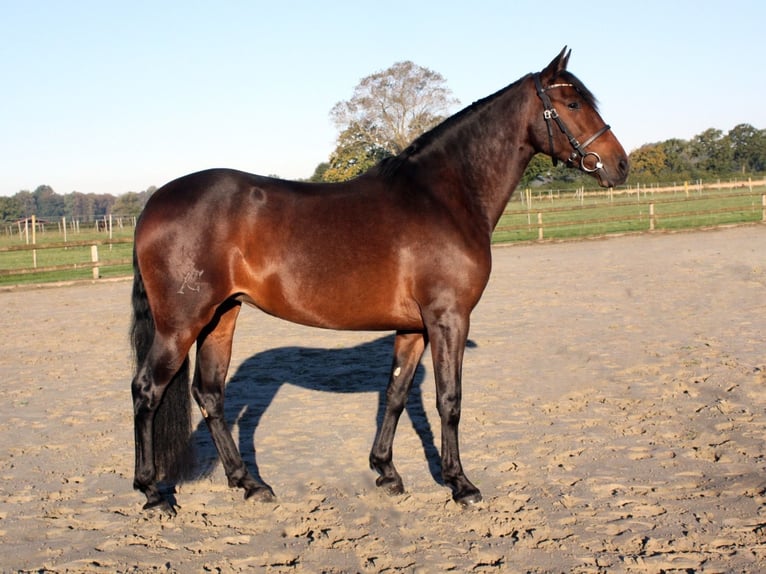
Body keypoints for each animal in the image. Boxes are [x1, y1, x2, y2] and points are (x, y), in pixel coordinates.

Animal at [129, 46, 628, 512]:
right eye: (574, 103)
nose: (620, 165)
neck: (444, 196)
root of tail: (154, 205)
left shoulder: (413, 328)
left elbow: (395, 393)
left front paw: (386, 472)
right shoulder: (449, 318)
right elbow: (449, 400)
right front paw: (460, 484)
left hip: (221, 317)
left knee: (210, 394)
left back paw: (249, 484)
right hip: (181, 324)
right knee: (147, 390)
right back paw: (152, 492)